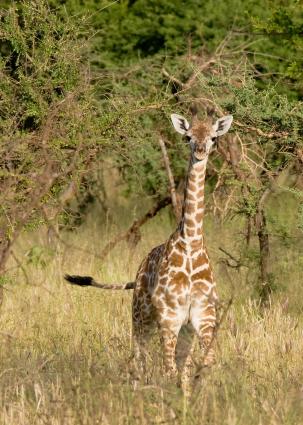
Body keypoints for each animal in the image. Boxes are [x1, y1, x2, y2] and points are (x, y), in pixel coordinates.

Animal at [65, 111, 234, 382]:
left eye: (213, 138)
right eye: (188, 136)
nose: (200, 151)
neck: (191, 244)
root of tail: (140, 268)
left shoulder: (203, 315)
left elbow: (203, 365)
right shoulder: (169, 316)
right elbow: (169, 369)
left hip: (181, 327)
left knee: (175, 364)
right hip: (141, 315)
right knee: (139, 358)